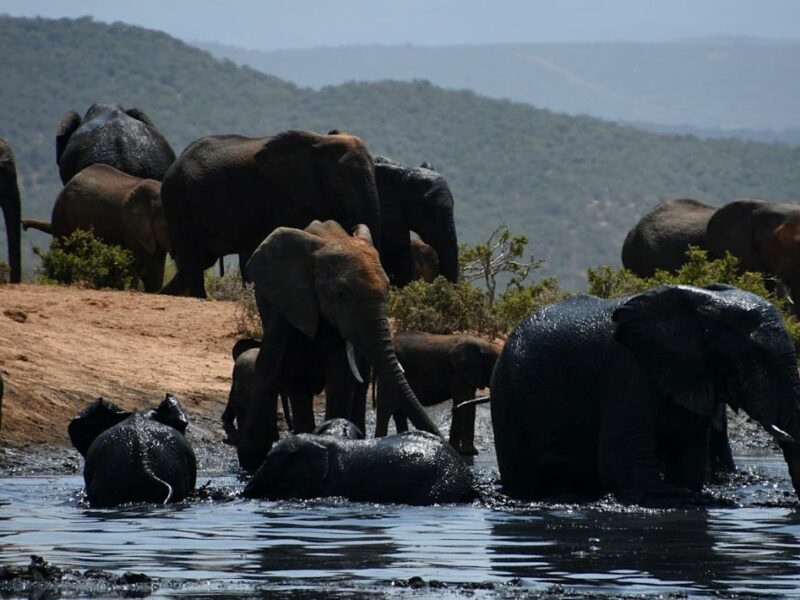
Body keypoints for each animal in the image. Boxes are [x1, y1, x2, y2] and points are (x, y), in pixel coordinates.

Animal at [21, 164, 170, 292]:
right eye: (166, 226)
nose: (24, 227)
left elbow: (156, 268)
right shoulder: (131, 231)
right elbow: (136, 266)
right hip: (62, 213)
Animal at [159, 129, 382, 298]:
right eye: (341, 175)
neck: (320, 141)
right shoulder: (282, 195)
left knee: (197, 262)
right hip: (179, 204)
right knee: (192, 261)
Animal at [236, 219, 440, 471]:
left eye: (388, 291)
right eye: (341, 295)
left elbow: (341, 376)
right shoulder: (283, 301)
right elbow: (269, 363)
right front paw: (251, 459)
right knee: (297, 384)